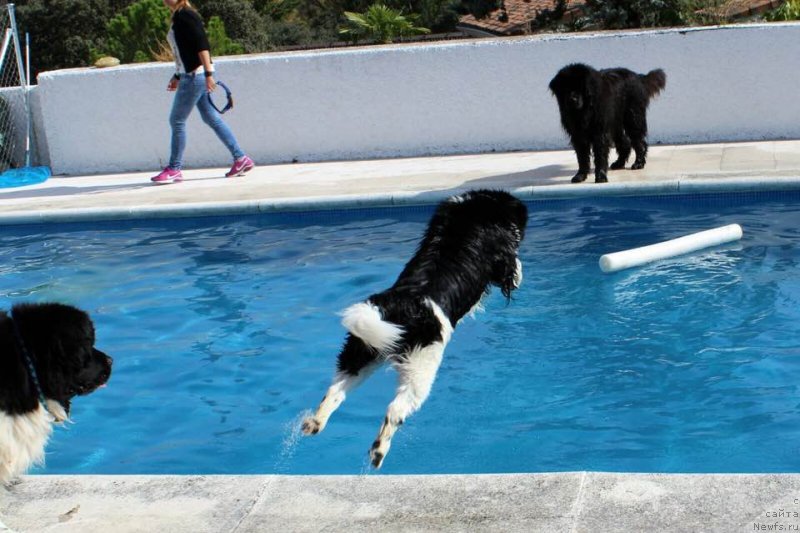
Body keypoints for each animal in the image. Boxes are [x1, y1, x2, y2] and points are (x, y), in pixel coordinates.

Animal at [298, 189, 524, 468]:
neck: (474, 209)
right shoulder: (503, 254)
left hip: (364, 349)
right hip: (420, 368)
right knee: (394, 411)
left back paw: (315, 422)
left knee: (336, 390)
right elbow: (514, 269)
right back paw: (378, 451)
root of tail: (400, 306)